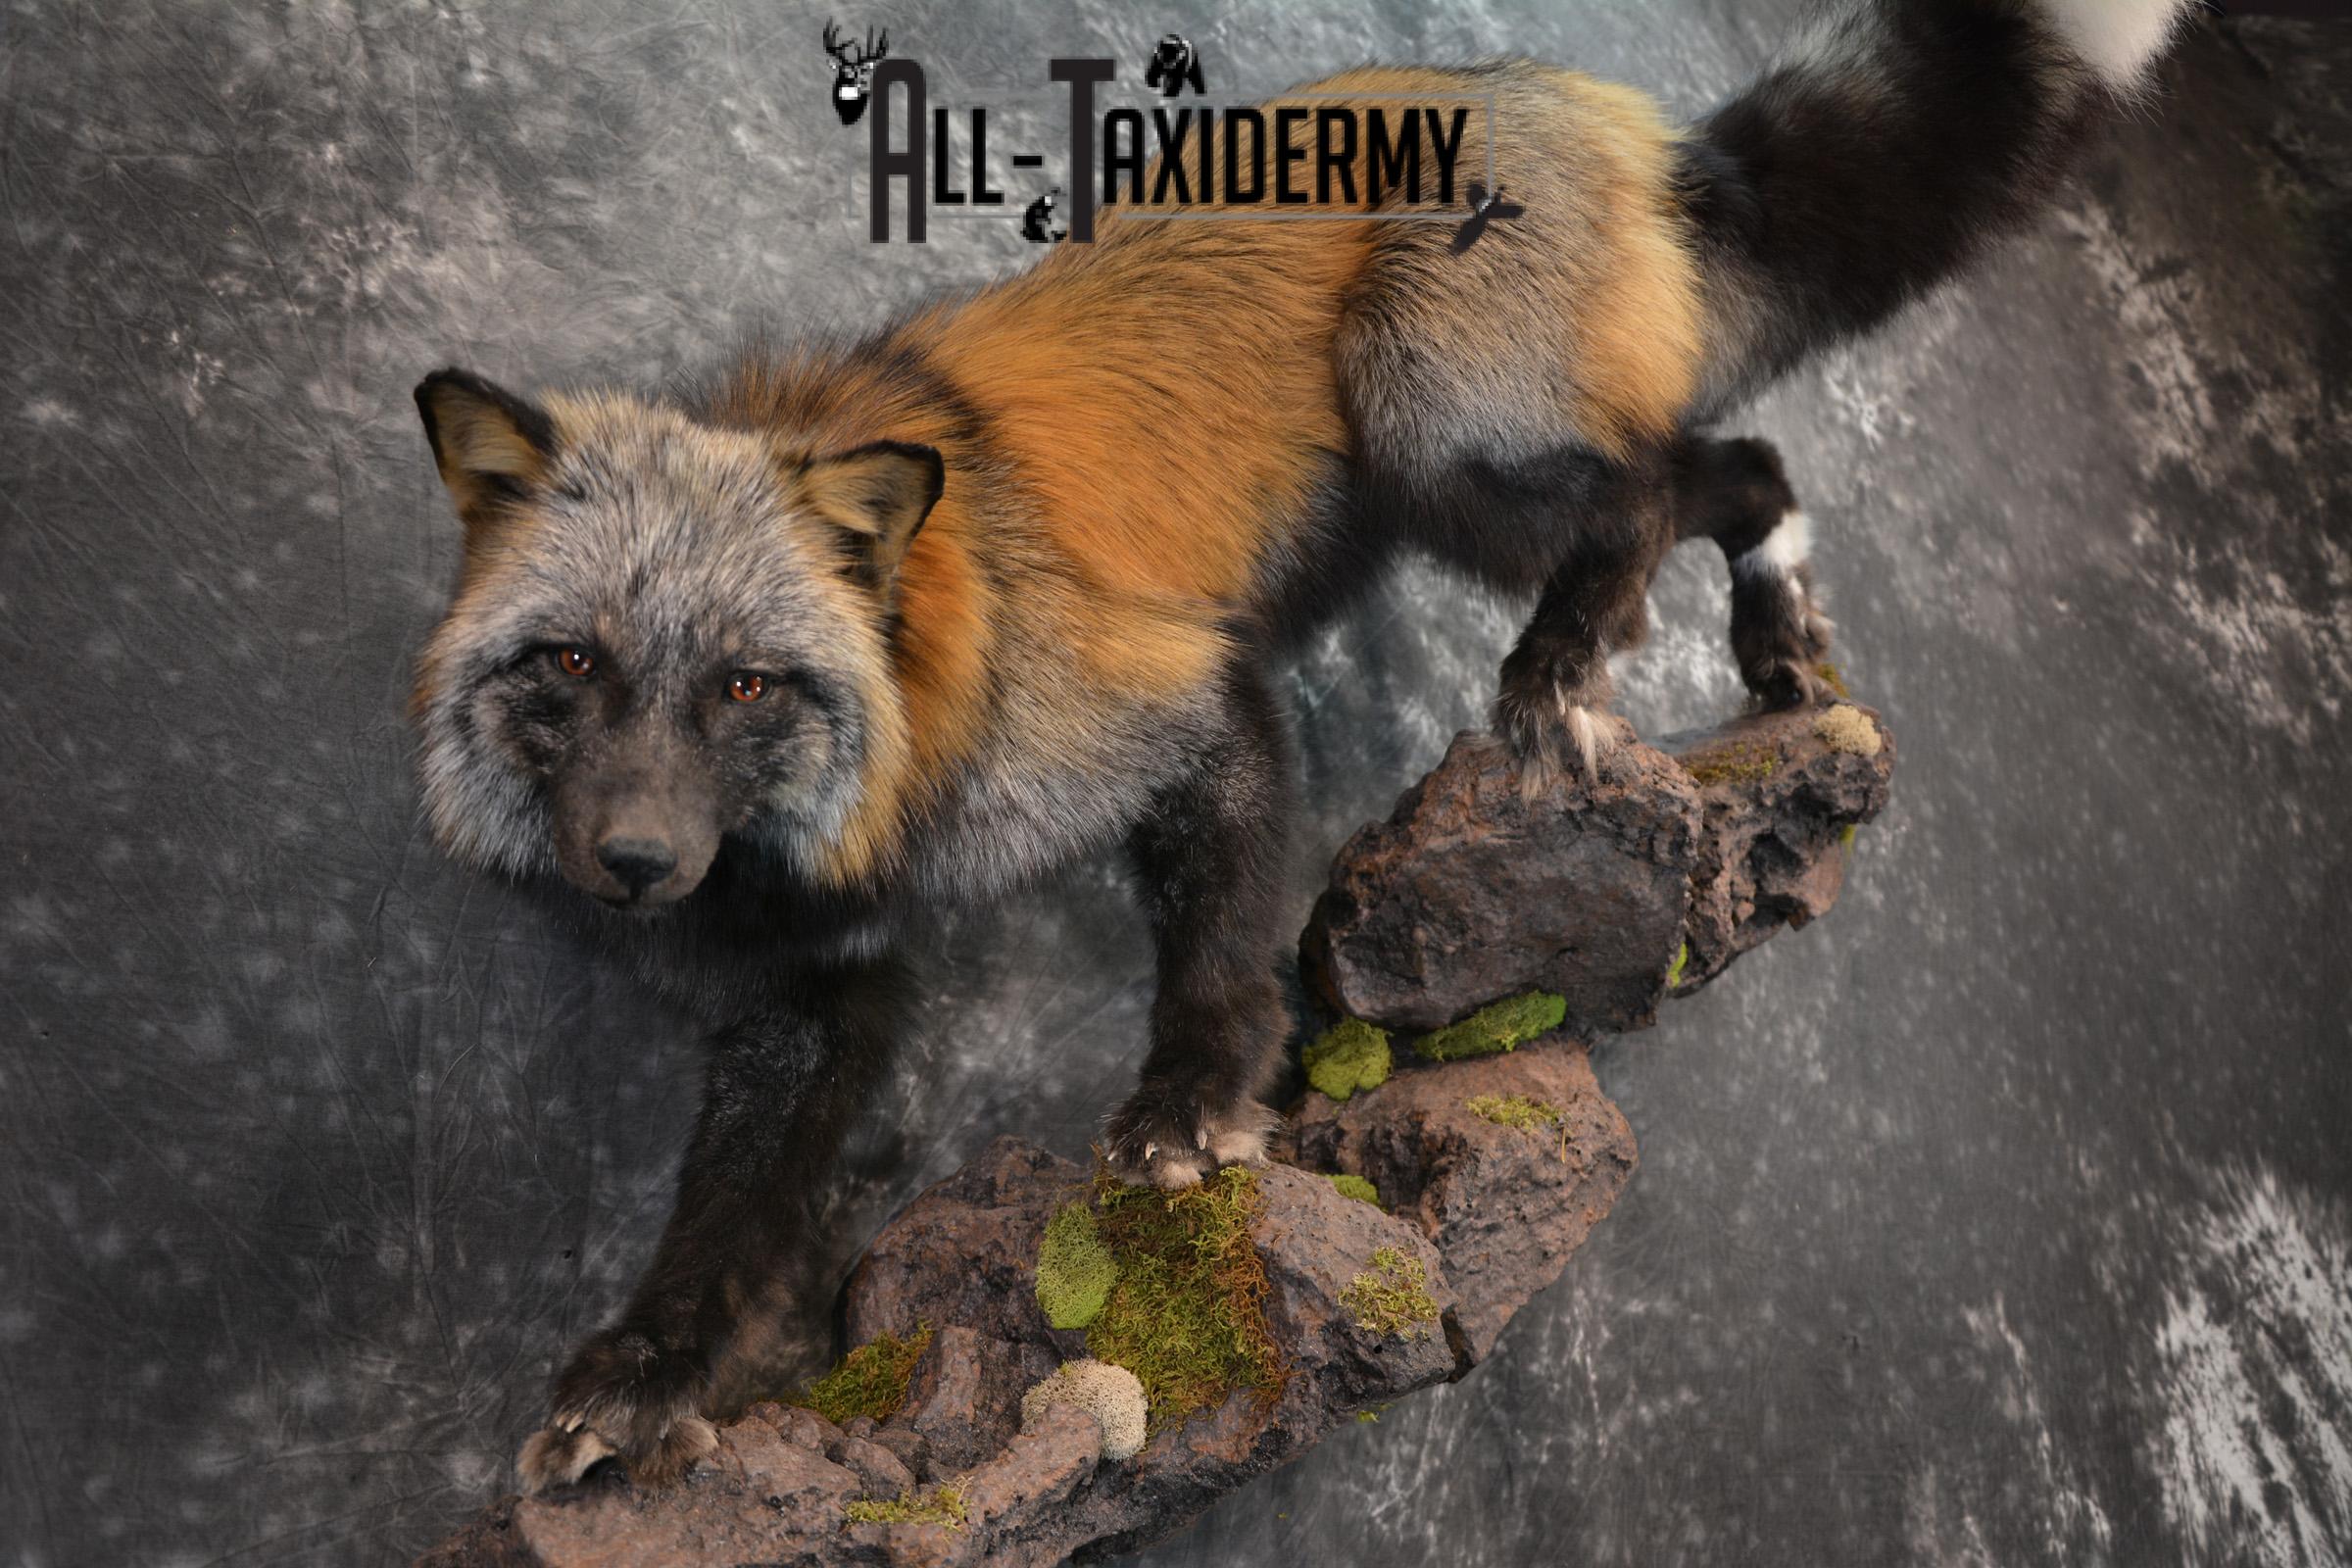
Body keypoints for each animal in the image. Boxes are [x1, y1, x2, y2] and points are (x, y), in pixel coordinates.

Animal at [409, 0, 2199, 1492]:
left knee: (1653, 493)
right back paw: (1777, 646)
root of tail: (1575, 102)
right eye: (571, 664)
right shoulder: (814, 993)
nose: (636, 863)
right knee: (1739, 461)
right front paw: (647, 1376)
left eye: (746, 688)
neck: (895, 750)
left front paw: (1198, 1105)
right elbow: (728, 1216)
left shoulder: (1182, 706)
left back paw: (1571, 662)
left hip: (1431, 430)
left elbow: (1222, 942)